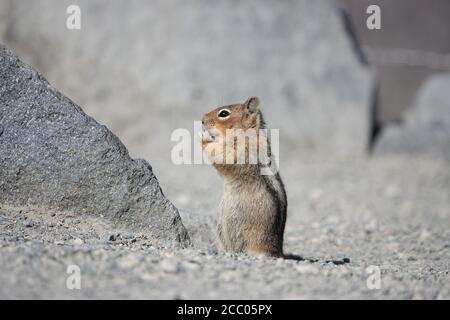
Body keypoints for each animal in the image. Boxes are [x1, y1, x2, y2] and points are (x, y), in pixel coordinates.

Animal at [201, 96, 286, 256]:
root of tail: (277, 252)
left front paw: (204, 139)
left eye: (224, 113)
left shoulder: (242, 151)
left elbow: (223, 155)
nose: (202, 120)